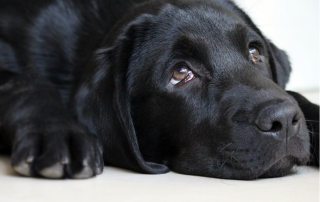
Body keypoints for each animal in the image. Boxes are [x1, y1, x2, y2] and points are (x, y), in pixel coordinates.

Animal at [0, 0, 318, 180]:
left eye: (255, 52)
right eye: (181, 73)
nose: (283, 120)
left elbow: (296, 96)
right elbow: (24, 81)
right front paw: (57, 132)